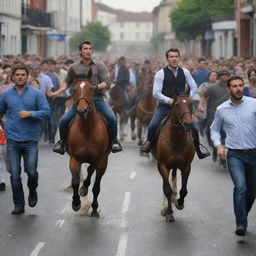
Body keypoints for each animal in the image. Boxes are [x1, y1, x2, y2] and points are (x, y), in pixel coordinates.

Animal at [66, 68, 109, 216]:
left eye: (91, 89)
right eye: (74, 89)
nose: (82, 110)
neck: (86, 130)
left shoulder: (100, 161)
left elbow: (95, 185)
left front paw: (94, 207)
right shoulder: (74, 159)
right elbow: (74, 181)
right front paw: (75, 203)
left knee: (93, 178)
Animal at [153, 94, 195, 222]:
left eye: (191, 103)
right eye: (176, 105)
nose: (188, 124)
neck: (176, 139)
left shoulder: (186, 166)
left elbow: (184, 190)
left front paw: (179, 203)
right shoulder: (162, 165)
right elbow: (167, 189)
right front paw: (169, 212)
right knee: (165, 185)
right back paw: (165, 207)